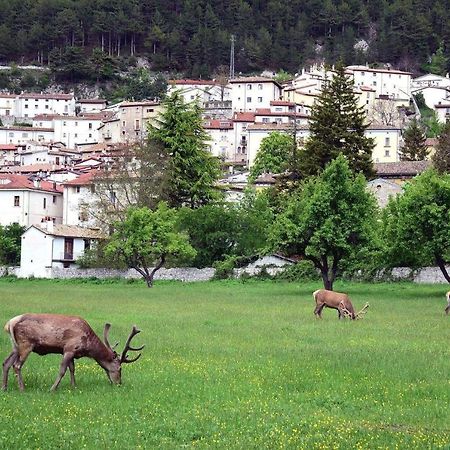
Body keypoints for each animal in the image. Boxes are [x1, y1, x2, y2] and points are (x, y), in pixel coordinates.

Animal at [1, 314, 142, 392]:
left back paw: (4, 388)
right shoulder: (68, 349)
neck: (87, 346)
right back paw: (22, 389)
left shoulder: (73, 353)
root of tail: (9, 324)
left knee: (6, 363)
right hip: (26, 343)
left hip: (15, 346)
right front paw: (52, 389)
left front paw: (74, 387)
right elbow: (62, 370)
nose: (119, 383)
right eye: (120, 368)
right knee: (17, 365)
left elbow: (72, 369)